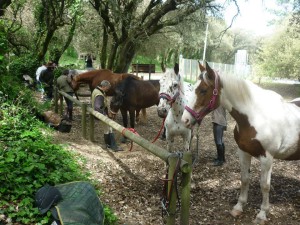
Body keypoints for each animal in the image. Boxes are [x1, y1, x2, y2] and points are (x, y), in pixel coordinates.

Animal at [180, 61, 300, 225]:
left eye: (203, 90)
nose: (185, 120)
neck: (256, 116)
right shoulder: (243, 152)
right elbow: (244, 179)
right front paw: (239, 207)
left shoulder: (267, 158)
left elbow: (265, 185)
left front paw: (262, 214)